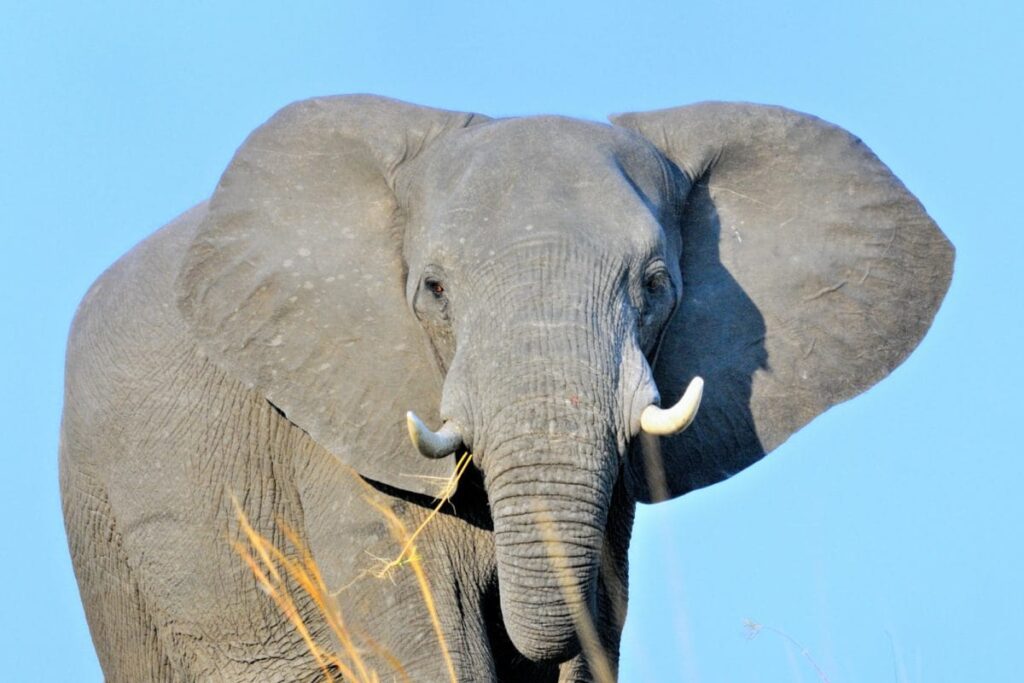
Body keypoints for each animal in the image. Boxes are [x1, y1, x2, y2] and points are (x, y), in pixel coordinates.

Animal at [58, 93, 950, 679]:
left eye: (655, 284)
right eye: (433, 291)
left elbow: (595, 624)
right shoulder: (336, 438)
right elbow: (428, 634)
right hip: (105, 537)